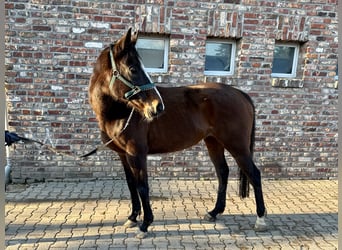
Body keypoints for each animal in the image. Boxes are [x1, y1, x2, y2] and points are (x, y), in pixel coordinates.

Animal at [88, 27, 268, 238]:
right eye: (133, 69)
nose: (157, 107)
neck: (120, 113)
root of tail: (240, 94)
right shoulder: (123, 155)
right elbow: (131, 184)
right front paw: (132, 218)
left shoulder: (137, 153)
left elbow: (143, 186)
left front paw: (145, 224)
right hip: (213, 142)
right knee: (222, 172)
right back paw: (214, 212)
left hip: (237, 146)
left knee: (254, 174)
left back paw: (260, 219)